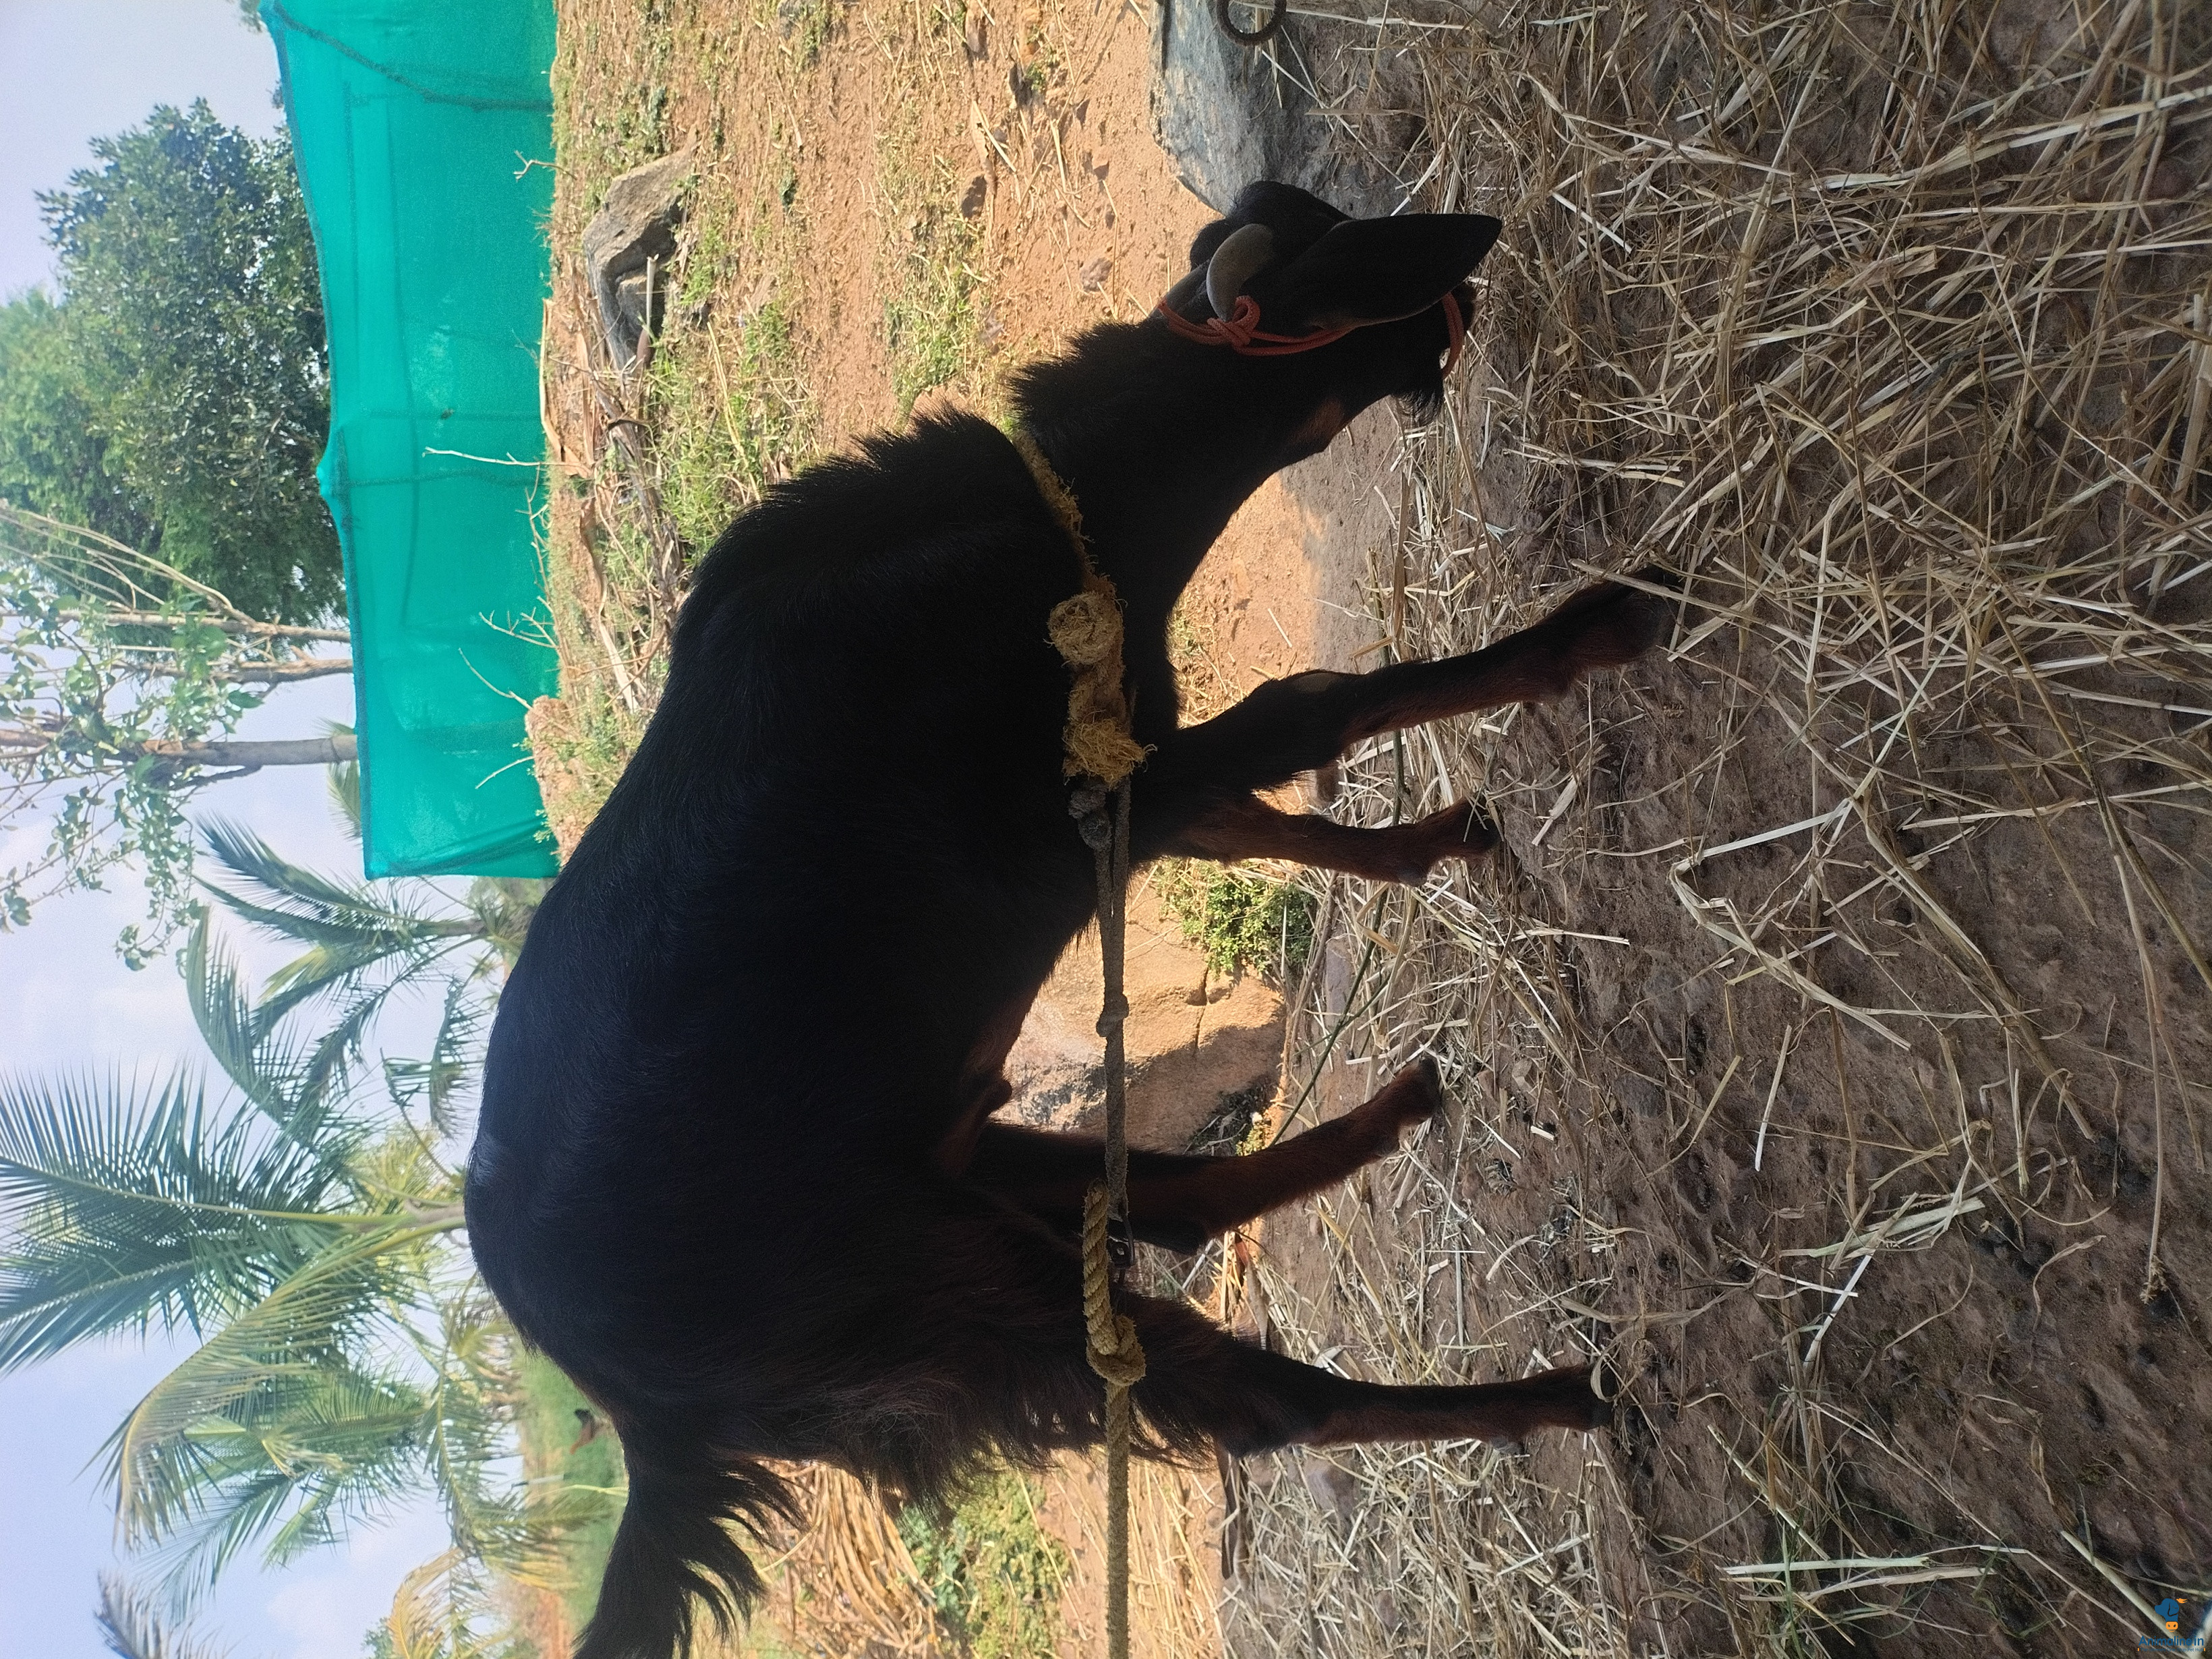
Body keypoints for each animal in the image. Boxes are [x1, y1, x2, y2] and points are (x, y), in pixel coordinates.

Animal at [468, 179, 1671, 1659]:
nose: (1473, 266)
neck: (1079, 511)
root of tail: (629, 1408)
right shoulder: (1087, 803)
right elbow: (1316, 706)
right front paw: (1584, 636)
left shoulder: (1135, 776)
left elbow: (1273, 802)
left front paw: (1427, 842)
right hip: (936, 1295)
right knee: (1255, 1398)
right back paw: (1546, 1397)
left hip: (952, 1174)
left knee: (1183, 1198)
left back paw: (1390, 1117)